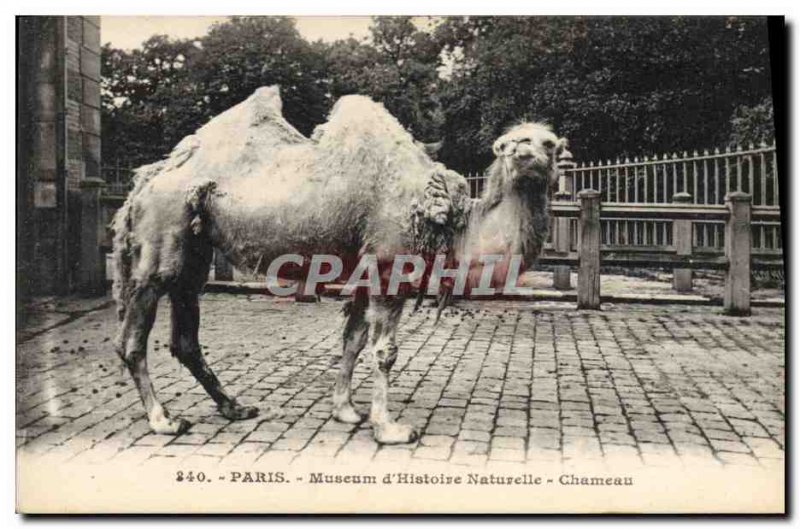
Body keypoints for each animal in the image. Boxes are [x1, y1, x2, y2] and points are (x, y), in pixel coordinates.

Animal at [112, 85, 564, 442]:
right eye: (513, 142)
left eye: (550, 143)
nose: (525, 152)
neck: (446, 221)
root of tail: (144, 182)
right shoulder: (389, 268)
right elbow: (384, 351)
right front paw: (389, 428)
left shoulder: (366, 273)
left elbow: (353, 340)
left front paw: (346, 410)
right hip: (161, 236)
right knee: (132, 339)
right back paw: (164, 420)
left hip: (193, 250)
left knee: (185, 336)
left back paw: (234, 407)